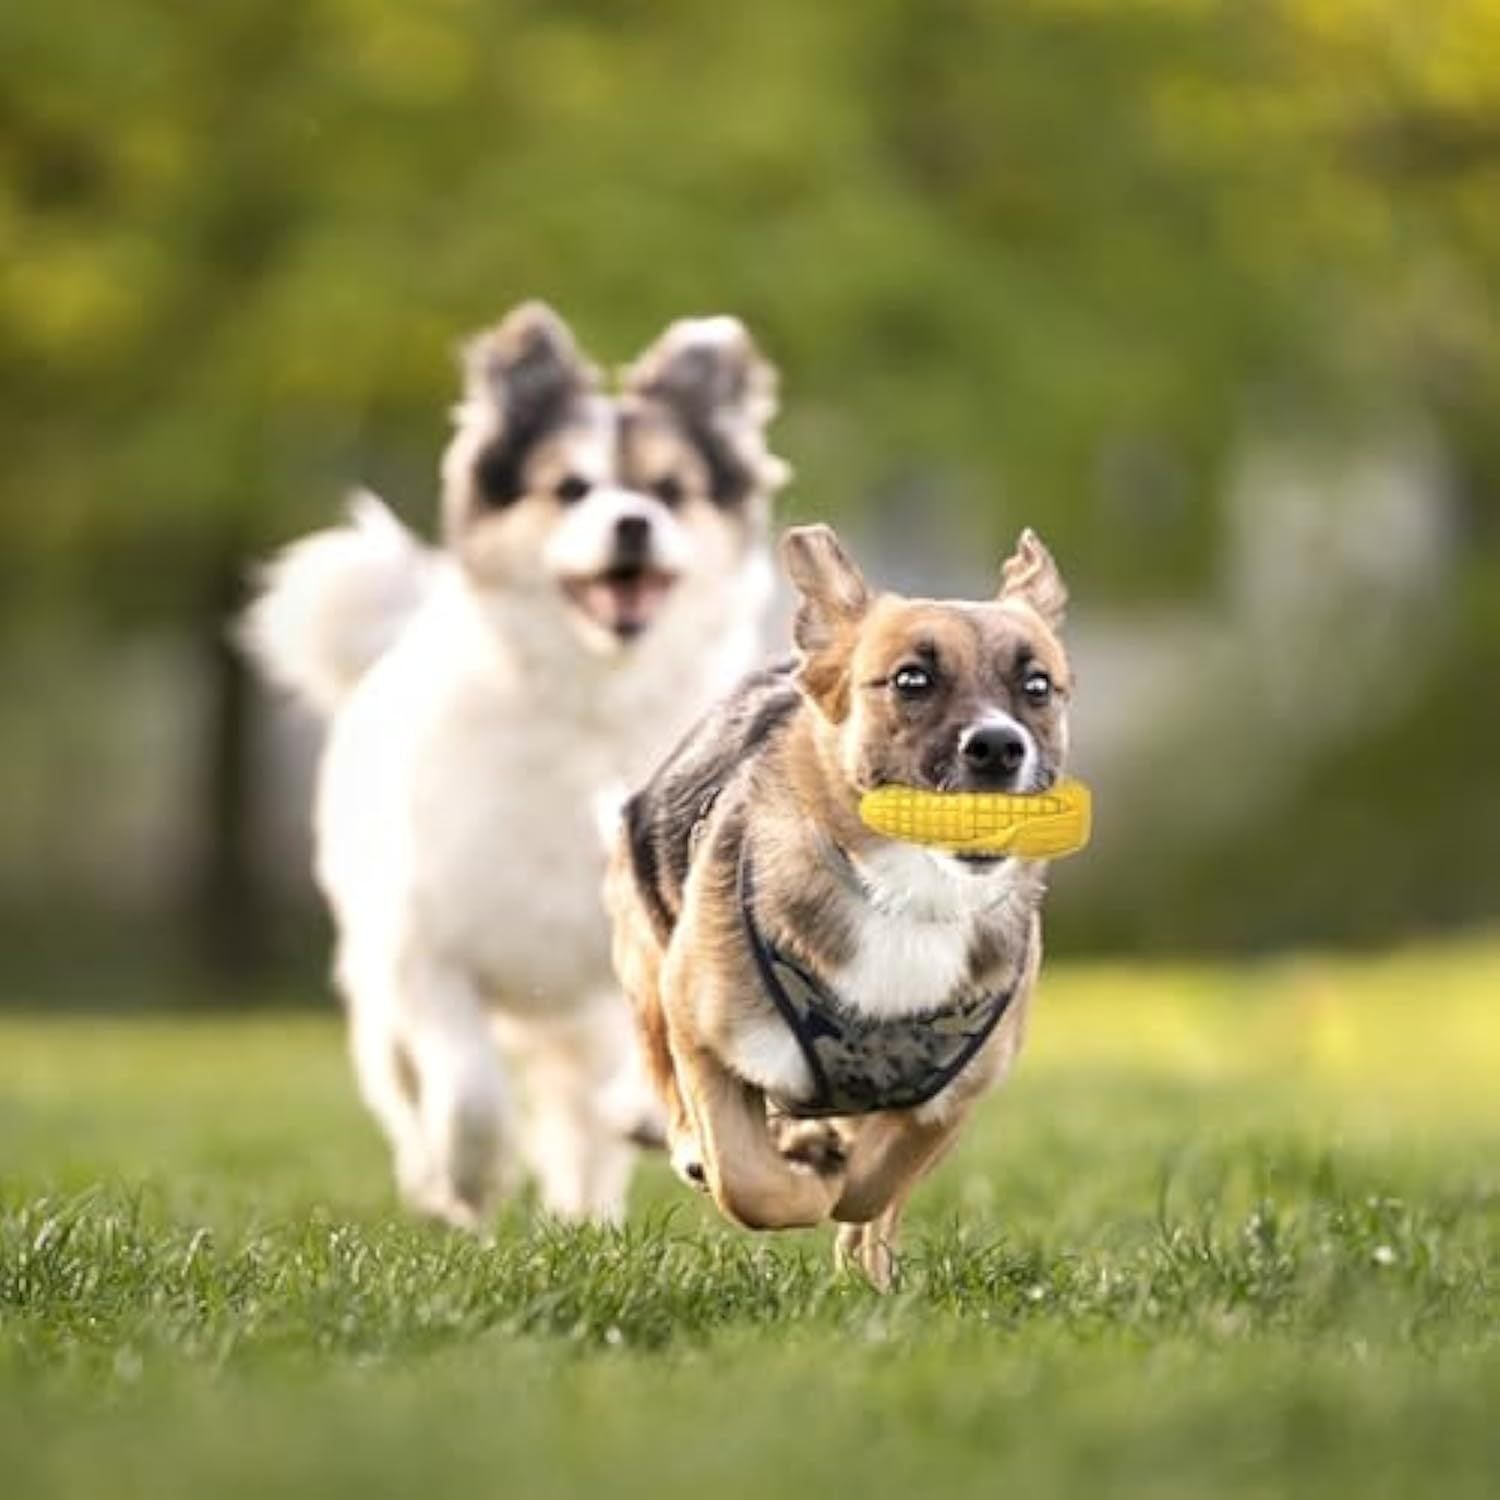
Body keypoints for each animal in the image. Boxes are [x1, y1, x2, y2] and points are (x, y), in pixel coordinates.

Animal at [243, 301, 786, 1218]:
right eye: (569, 489)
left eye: (670, 490)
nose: (634, 520)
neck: (592, 695)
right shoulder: (426, 946)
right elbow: (467, 1088)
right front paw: (470, 1177)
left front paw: (640, 1118)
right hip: (379, 983)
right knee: (411, 1091)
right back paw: (440, 1183)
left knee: (579, 1120)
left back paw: (588, 1212)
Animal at [603, 522, 1074, 1284]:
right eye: (911, 679)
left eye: (1037, 686)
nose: (1000, 746)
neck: (910, 896)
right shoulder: (701, 1032)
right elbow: (751, 1183)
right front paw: (801, 1174)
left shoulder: (952, 1095)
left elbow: (876, 1183)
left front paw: (840, 1186)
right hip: (649, 973)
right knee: (675, 1098)